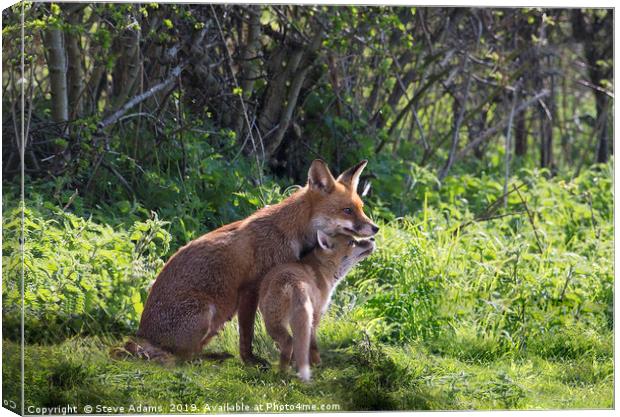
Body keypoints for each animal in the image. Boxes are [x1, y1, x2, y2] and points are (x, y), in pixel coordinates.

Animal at [128, 159, 378, 364]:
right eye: (347, 210)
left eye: (361, 208)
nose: (376, 228)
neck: (289, 233)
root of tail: (142, 333)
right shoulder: (251, 288)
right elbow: (247, 334)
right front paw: (250, 361)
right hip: (207, 312)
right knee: (182, 356)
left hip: (219, 318)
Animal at [260, 231, 376, 380]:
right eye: (352, 242)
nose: (372, 238)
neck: (321, 269)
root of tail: (293, 282)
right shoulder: (317, 314)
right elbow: (313, 345)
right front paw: (315, 364)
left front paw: (296, 364)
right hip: (287, 321)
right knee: (292, 343)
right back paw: (288, 372)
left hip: (273, 322)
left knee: (289, 343)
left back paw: (284, 371)